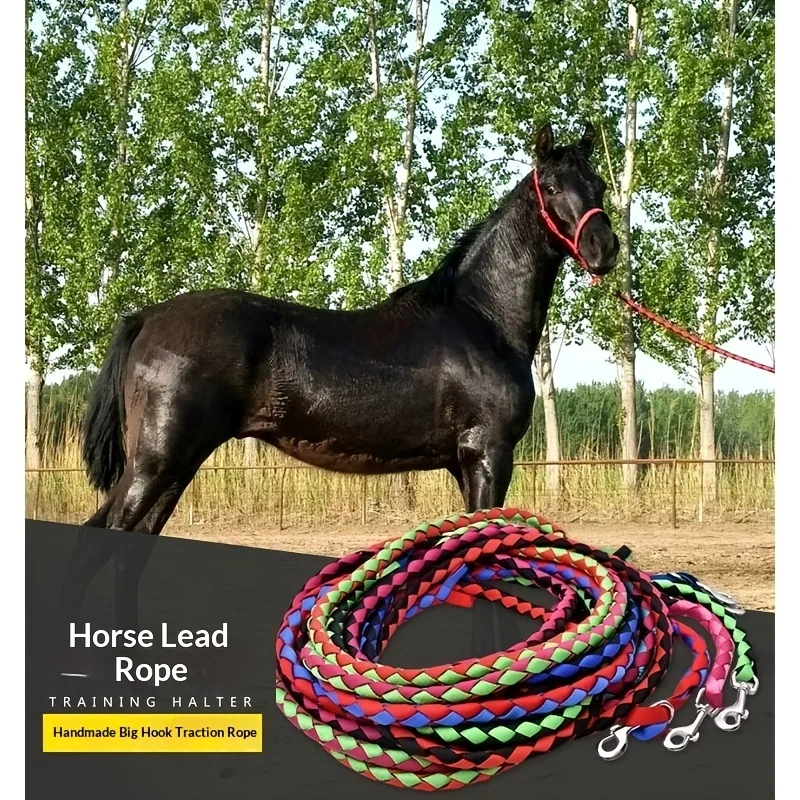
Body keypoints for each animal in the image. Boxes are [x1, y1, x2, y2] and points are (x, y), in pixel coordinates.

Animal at [59, 121, 618, 630]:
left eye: (598, 184)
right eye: (551, 187)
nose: (603, 248)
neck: (480, 318)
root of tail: (147, 317)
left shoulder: (465, 463)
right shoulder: (488, 453)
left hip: (176, 465)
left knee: (129, 553)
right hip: (158, 461)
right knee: (95, 545)